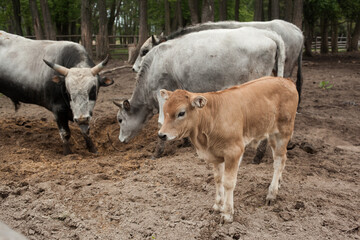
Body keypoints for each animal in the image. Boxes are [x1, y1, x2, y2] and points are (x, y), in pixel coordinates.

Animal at [158, 76, 298, 223]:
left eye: (181, 113)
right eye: (165, 110)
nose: (161, 135)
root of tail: (286, 80)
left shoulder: (234, 152)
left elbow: (229, 183)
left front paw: (227, 213)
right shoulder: (216, 155)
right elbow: (218, 179)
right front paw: (218, 205)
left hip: (283, 132)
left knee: (279, 161)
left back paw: (271, 194)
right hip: (271, 135)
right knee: (282, 158)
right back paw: (278, 184)